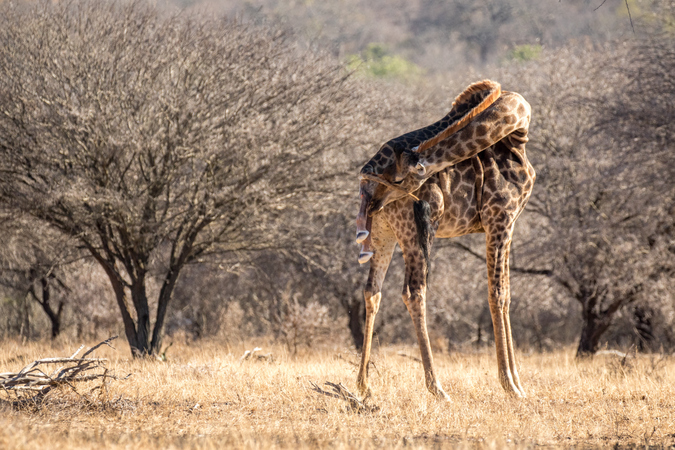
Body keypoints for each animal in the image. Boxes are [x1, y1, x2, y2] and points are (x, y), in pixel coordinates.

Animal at [356, 79, 536, 400]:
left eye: (398, 178)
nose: (370, 190)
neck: (517, 132)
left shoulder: (509, 224)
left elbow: (506, 294)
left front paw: (518, 383)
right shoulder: (499, 219)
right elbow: (497, 294)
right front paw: (511, 386)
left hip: (384, 235)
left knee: (372, 291)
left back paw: (363, 384)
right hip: (416, 232)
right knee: (413, 292)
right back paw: (437, 388)